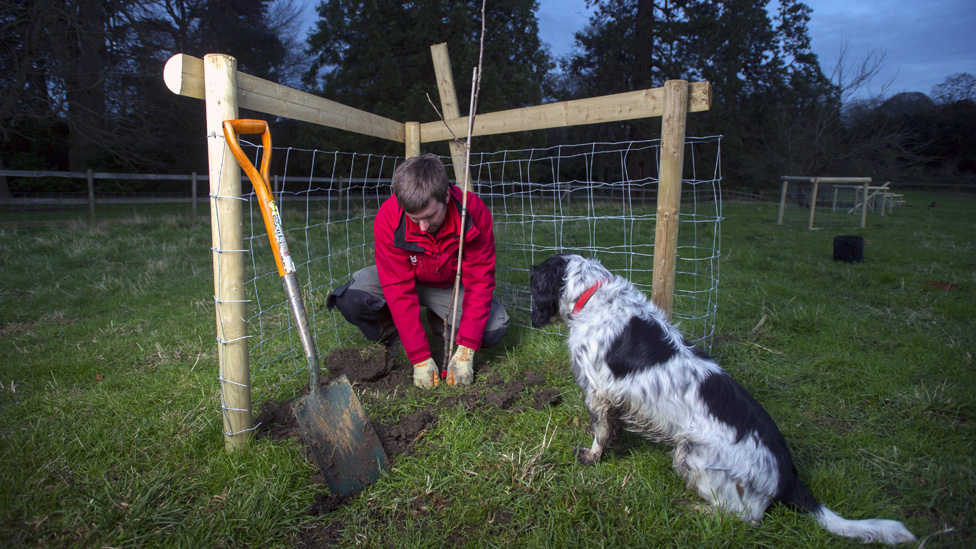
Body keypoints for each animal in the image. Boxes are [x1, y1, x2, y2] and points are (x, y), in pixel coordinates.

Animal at [528, 254, 920, 544]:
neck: (594, 295)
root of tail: (787, 475)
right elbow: (614, 430)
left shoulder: (597, 391)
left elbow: (600, 431)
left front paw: (592, 457)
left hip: (691, 452)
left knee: (748, 516)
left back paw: (698, 509)